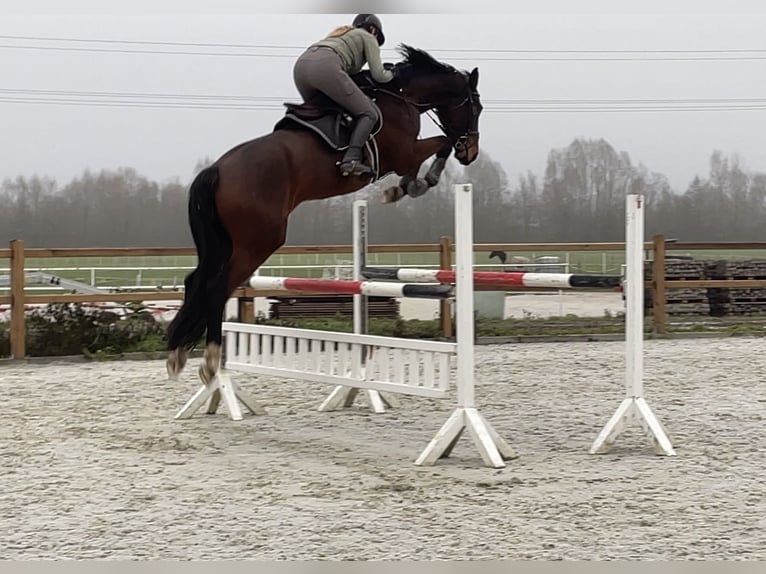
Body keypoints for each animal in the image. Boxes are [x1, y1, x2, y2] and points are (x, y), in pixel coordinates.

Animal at [165, 44, 484, 383]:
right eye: (476, 108)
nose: (471, 153)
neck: (401, 95)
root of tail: (216, 170)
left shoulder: (405, 155)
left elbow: (428, 157)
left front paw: (405, 187)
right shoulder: (405, 152)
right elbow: (442, 143)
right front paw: (415, 185)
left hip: (224, 241)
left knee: (196, 281)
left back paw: (177, 352)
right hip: (259, 241)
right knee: (218, 286)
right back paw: (211, 358)